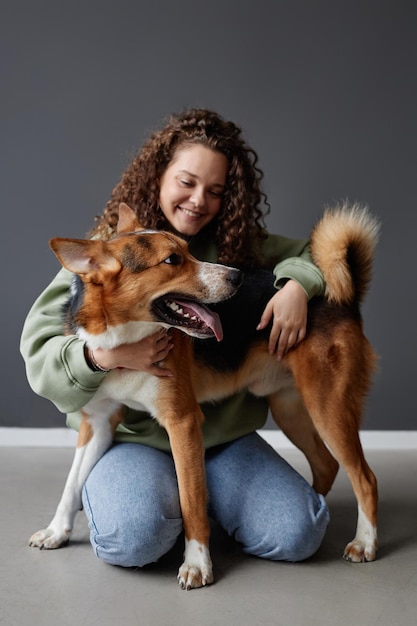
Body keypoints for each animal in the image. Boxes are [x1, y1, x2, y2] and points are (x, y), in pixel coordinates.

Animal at [29, 202, 378, 588]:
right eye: (172, 260)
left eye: (189, 251)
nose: (236, 277)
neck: (124, 338)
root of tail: (341, 298)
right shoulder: (98, 425)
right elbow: (71, 485)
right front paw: (56, 531)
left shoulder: (182, 422)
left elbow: (191, 501)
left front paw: (197, 563)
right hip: (293, 411)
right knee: (327, 465)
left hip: (327, 407)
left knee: (365, 479)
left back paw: (365, 543)